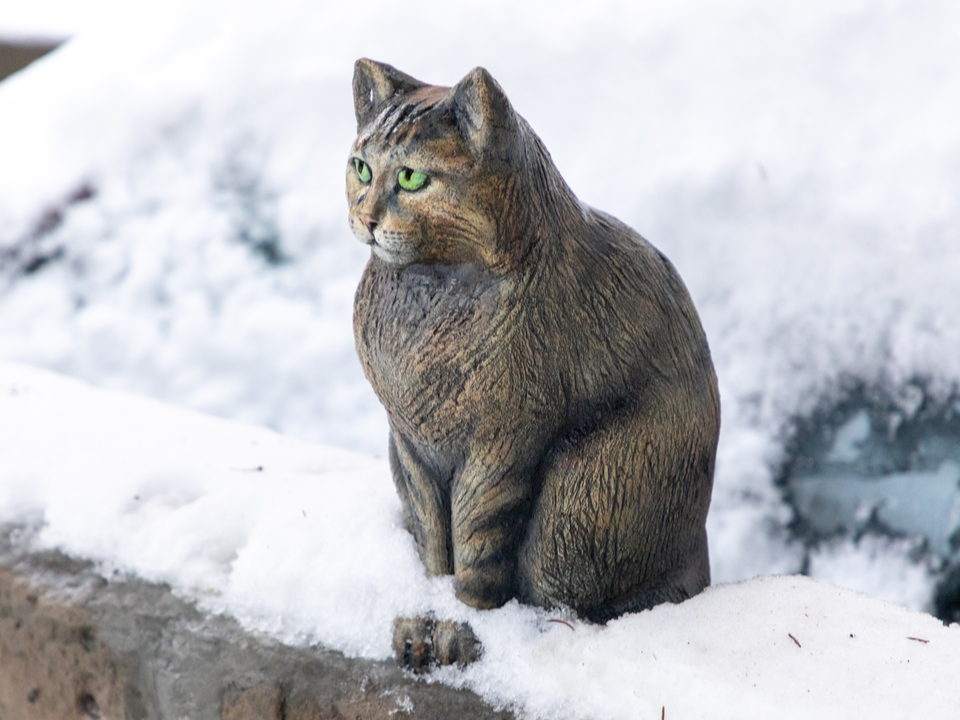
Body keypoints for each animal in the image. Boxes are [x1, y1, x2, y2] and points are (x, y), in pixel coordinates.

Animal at [346, 57, 720, 668]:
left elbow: (476, 546)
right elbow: (431, 539)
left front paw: (461, 632)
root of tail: (700, 558)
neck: (428, 292)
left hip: (580, 494)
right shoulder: (409, 444)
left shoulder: (503, 445)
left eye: (411, 179)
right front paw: (420, 621)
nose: (367, 218)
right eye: (360, 168)